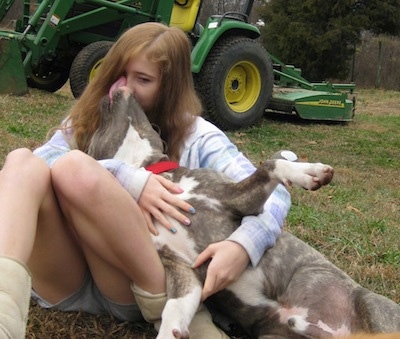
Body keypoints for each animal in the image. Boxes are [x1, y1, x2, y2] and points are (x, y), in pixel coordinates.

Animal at [87, 88, 400, 339]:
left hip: (374, 308)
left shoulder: (237, 199)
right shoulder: (181, 271)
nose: (118, 85)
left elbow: (271, 164)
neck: (154, 173)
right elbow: (173, 310)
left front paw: (309, 172)